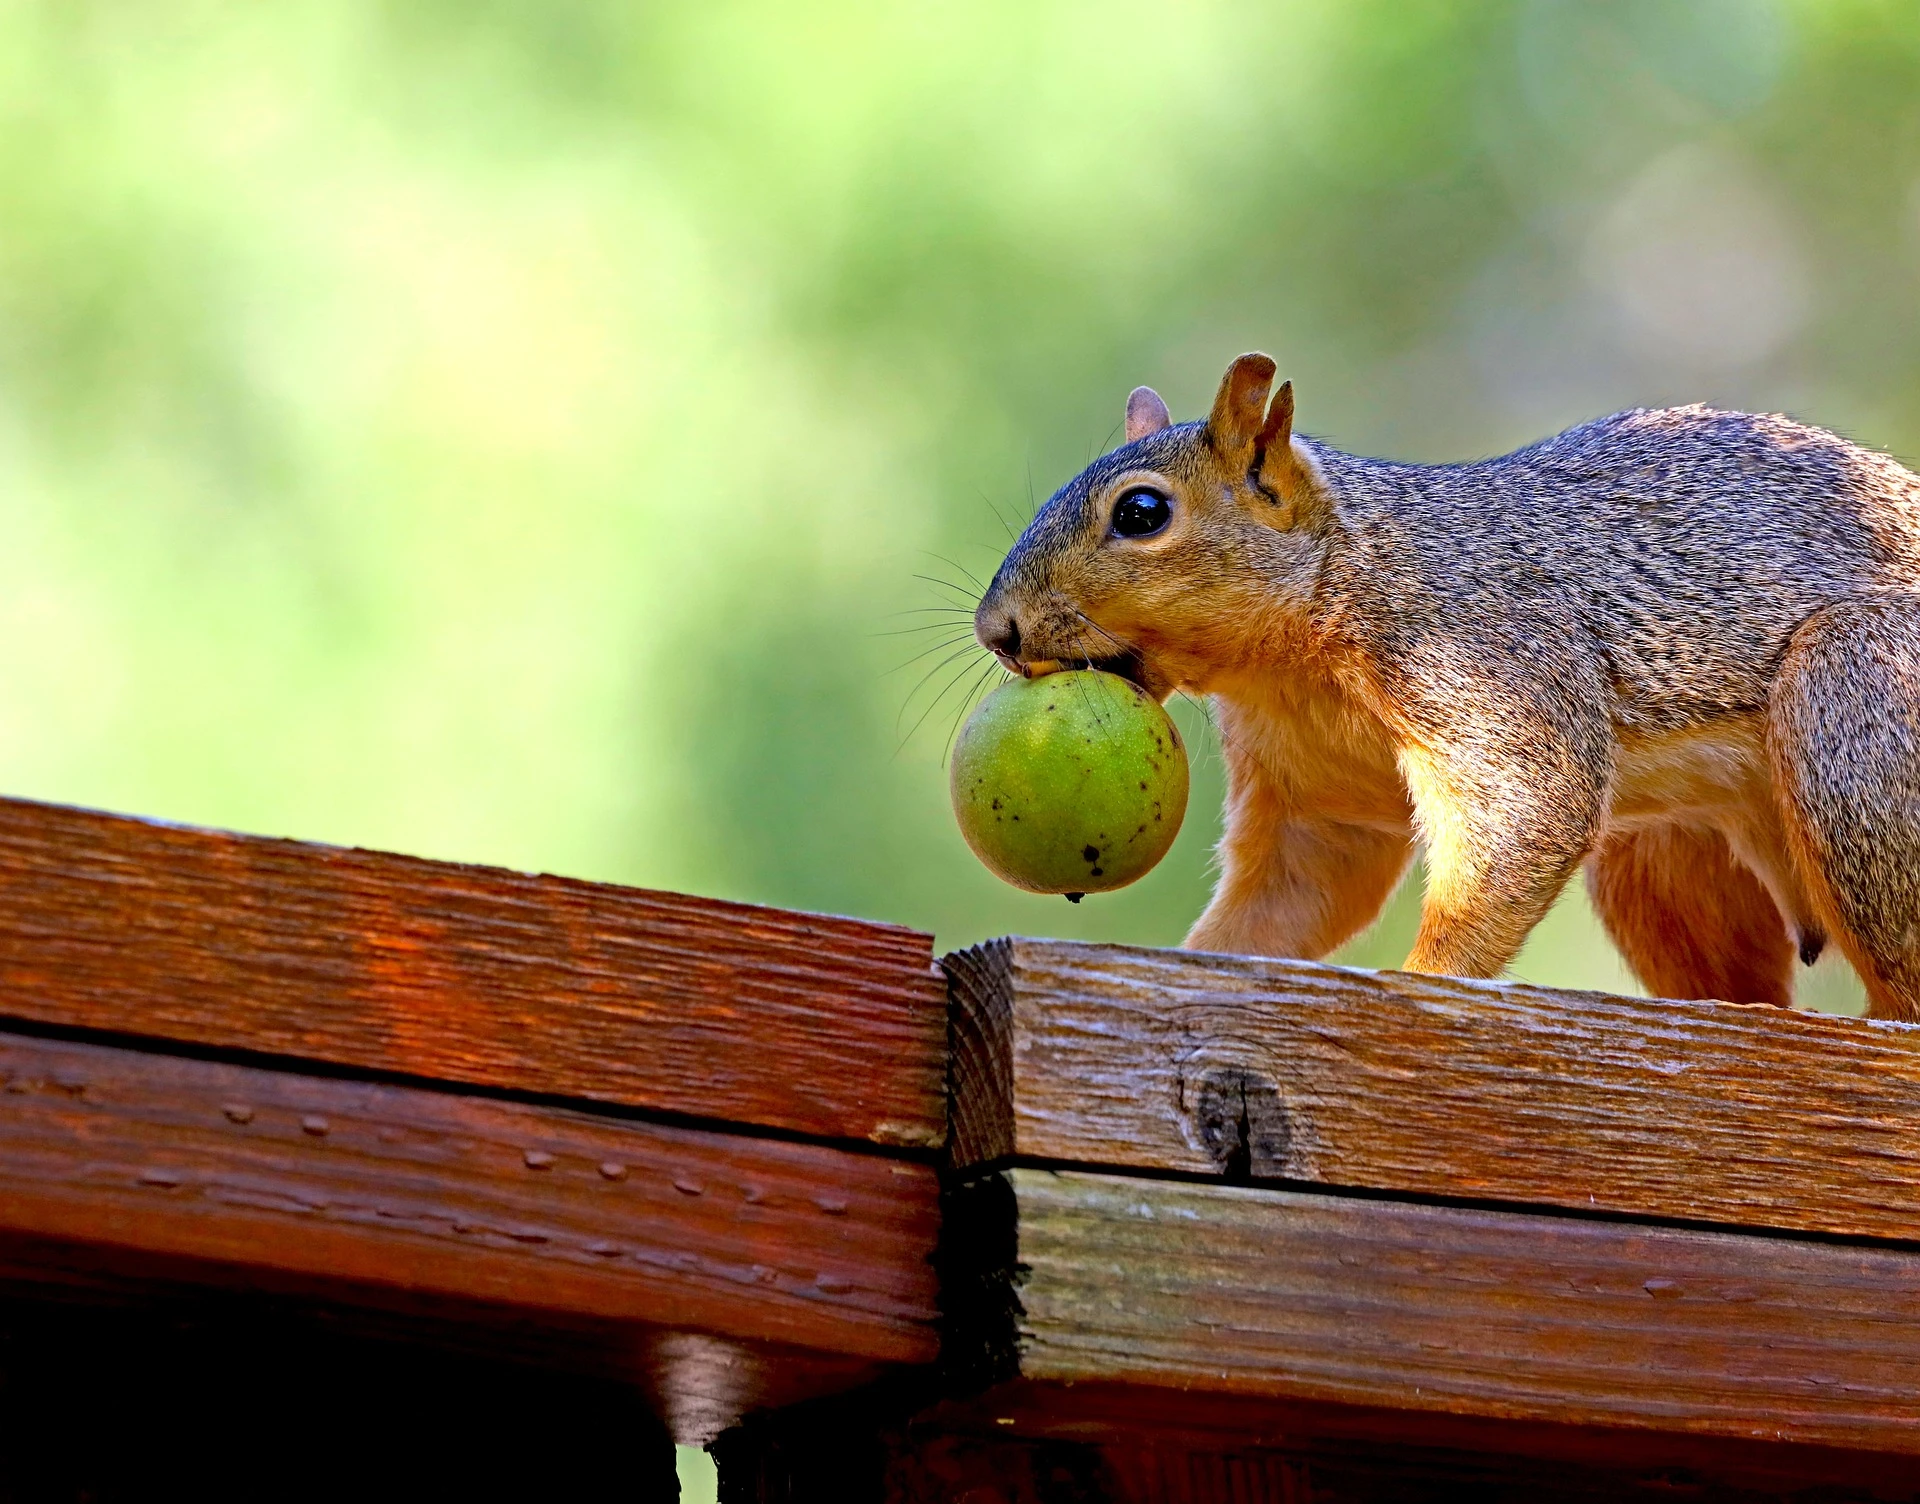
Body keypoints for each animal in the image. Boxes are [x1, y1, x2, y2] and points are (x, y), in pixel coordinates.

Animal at [983, 349, 1920, 1021]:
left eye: (1141, 513)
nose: (998, 631)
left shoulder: (1487, 658)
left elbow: (1523, 813)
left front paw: (1424, 977)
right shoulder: (1316, 793)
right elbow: (1294, 895)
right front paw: (1194, 961)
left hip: (1855, 703)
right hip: (1667, 850)